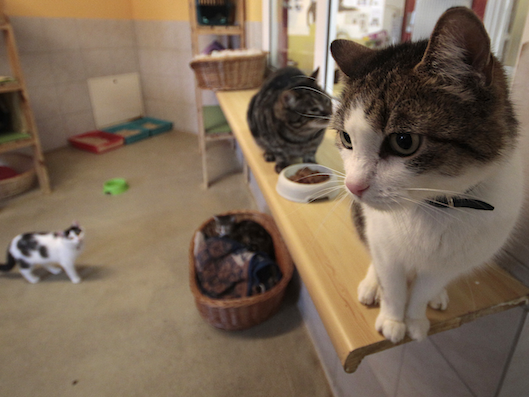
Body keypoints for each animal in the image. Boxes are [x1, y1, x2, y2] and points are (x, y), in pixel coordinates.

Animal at [328, 6, 520, 342]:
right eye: (347, 138)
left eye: (404, 142)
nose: (353, 186)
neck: (436, 206)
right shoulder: (385, 245)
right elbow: (392, 282)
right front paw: (393, 320)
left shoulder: (455, 260)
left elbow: (424, 288)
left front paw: (415, 319)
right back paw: (371, 285)